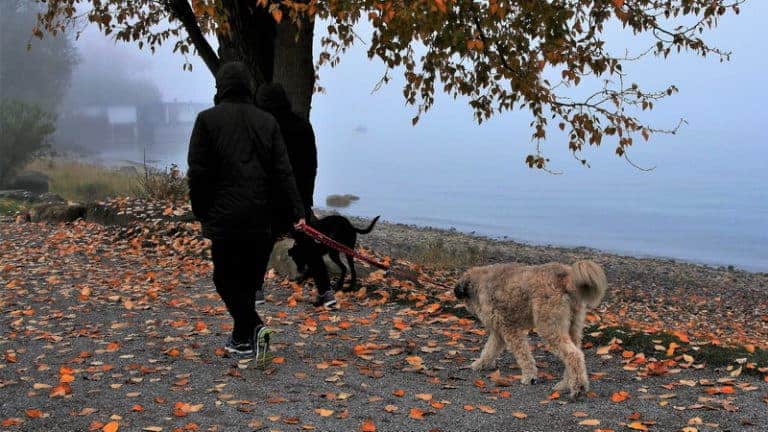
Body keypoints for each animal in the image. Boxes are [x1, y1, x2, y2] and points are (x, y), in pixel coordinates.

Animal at [452, 260, 608, 398]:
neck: (480, 282)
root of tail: (565, 277)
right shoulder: (498, 333)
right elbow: (488, 351)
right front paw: (479, 364)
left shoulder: (509, 328)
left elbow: (523, 355)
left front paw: (529, 376)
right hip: (572, 326)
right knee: (576, 354)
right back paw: (566, 384)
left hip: (549, 327)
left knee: (573, 355)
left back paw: (578, 387)